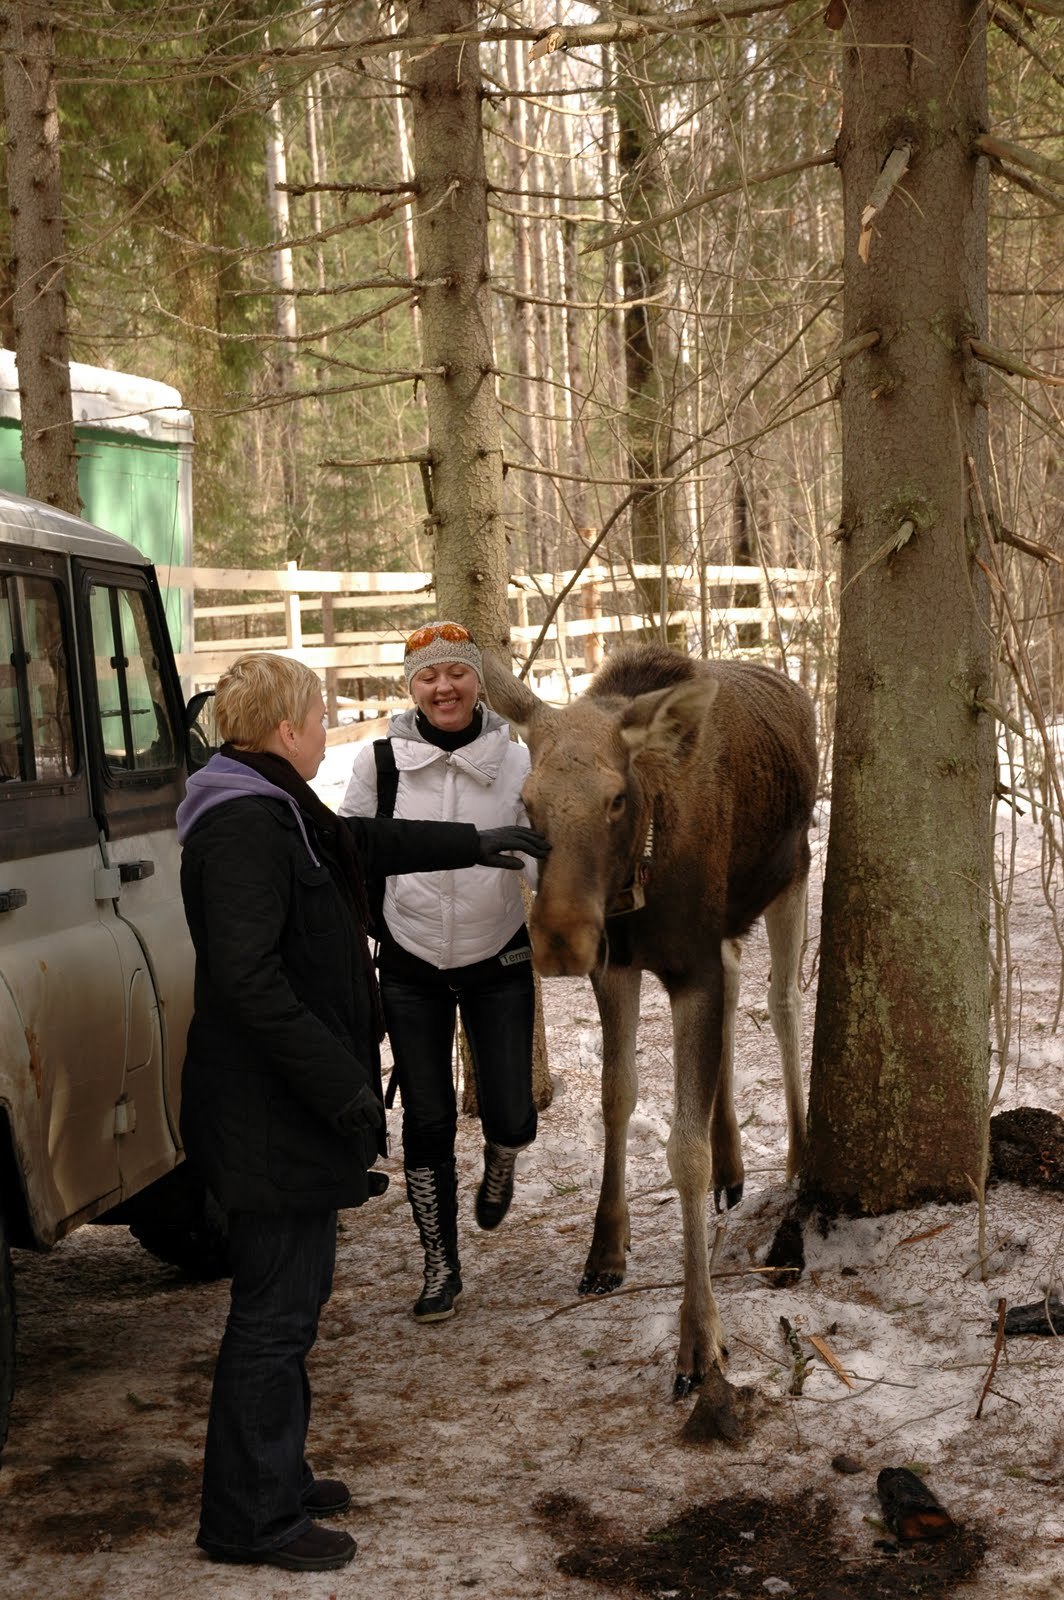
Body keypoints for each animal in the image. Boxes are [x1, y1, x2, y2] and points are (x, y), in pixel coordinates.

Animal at [486, 643, 816, 1395]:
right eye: (528, 801)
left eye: (615, 797)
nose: (559, 938)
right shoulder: (620, 965)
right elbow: (619, 1097)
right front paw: (606, 1248)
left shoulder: (689, 966)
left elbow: (682, 1151)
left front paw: (701, 1340)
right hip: (726, 925)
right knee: (739, 988)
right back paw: (735, 1162)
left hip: (793, 873)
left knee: (783, 1001)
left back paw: (796, 1152)